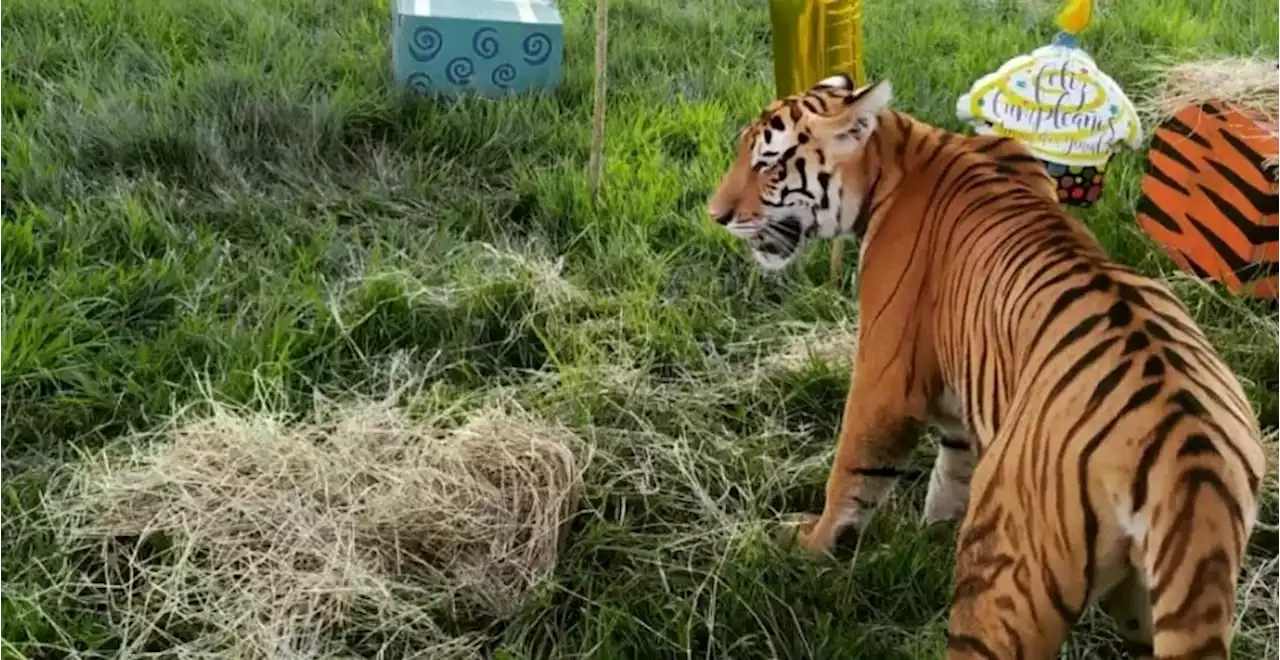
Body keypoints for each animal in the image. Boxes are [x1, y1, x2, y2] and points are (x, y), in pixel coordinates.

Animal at [711, 73, 1269, 660]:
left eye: (768, 165)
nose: (716, 215)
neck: (898, 151)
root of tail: (1191, 459)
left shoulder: (885, 378)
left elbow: (852, 473)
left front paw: (812, 543)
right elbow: (950, 470)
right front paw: (930, 537)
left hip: (1007, 575)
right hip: (1149, 601)